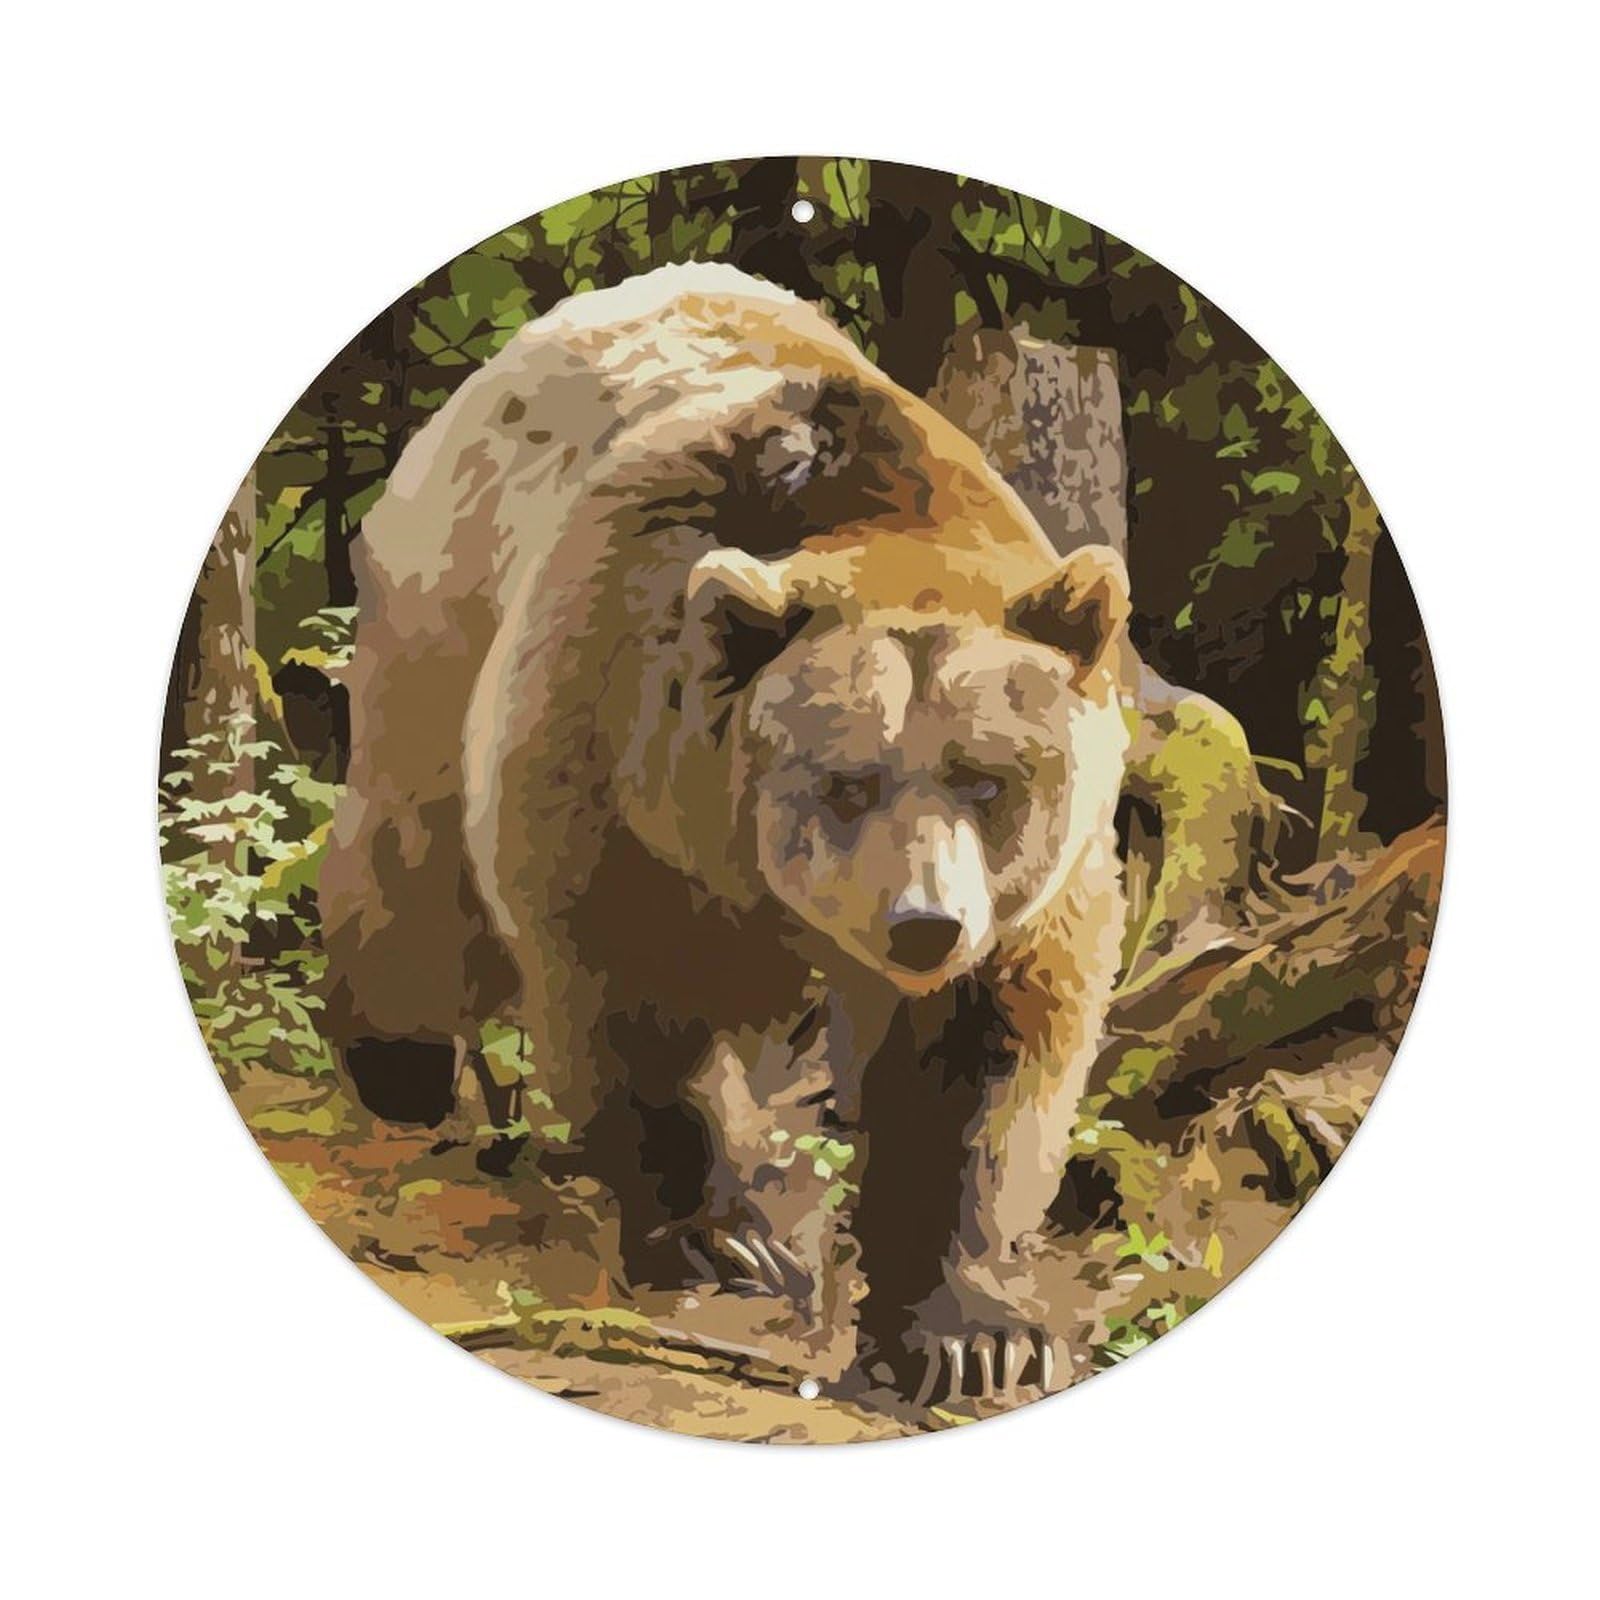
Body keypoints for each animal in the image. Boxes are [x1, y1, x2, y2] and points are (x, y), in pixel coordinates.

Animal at [319, 262, 1131, 1393]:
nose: (921, 925)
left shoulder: (1024, 899)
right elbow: (636, 989)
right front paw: (725, 1239)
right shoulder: (624, 745)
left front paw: (974, 1333)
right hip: (448, 613)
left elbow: (979, 1063)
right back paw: (396, 1062)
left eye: (986, 779)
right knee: (415, 867)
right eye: (845, 781)